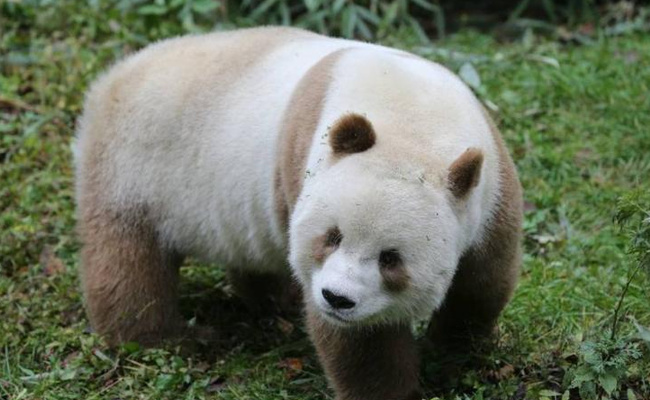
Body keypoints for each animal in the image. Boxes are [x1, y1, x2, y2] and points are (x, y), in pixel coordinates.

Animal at [74, 26, 523, 400]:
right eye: (332, 237)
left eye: (391, 259)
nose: (337, 298)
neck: (412, 119)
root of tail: (112, 78)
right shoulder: (310, 164)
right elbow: (361, 341)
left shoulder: (491, 188)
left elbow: (483, 280)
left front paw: (456, 350)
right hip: (134, 167)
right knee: (128, 266)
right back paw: (167, 340)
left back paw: (276, 306)